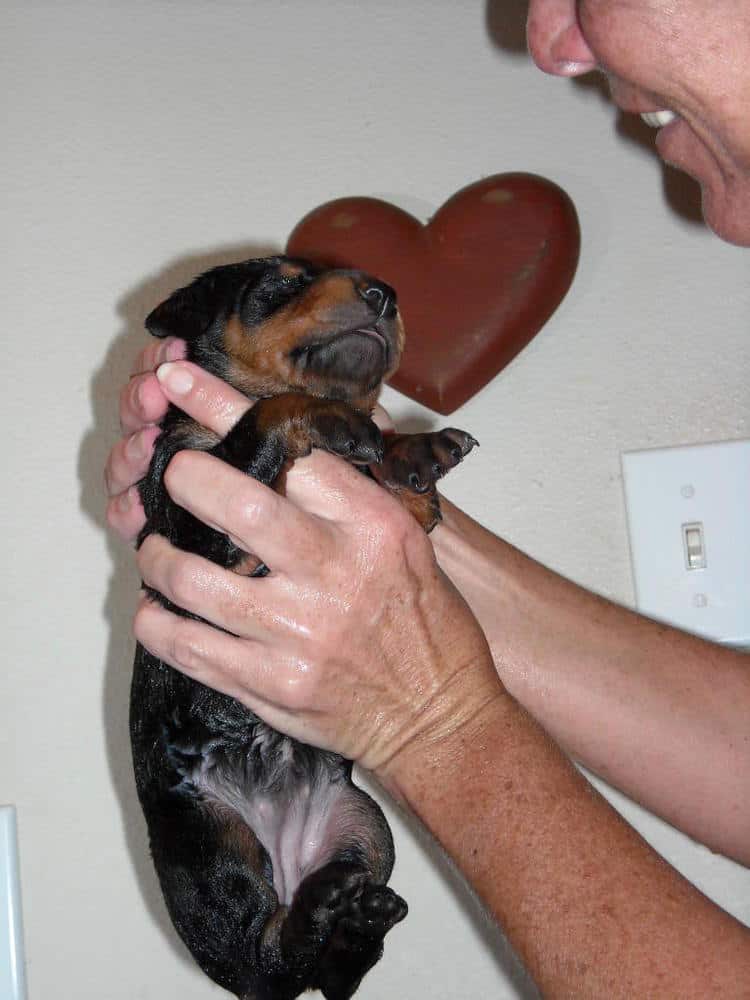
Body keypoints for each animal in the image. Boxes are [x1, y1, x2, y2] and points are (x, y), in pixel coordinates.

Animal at [132, 254, 478, 996]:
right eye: (281, 283)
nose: (386, 294)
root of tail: (289, 863)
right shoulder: (192, 526)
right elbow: (267, 416)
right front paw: (336, 418)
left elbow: (400, 490)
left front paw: (417, 451)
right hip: (206, 839)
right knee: (267, 962)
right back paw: (309, 919)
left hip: (363, 826)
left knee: (333, 967)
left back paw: (351, 918)